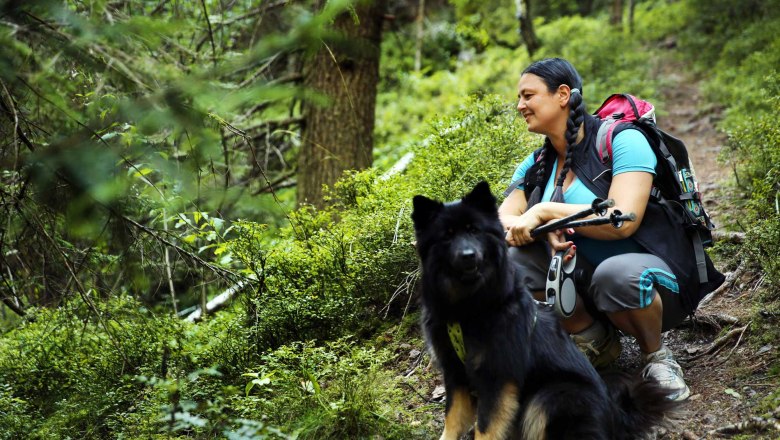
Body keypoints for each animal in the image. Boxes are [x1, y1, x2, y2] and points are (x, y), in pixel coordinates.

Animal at [412, 181, 680, 440]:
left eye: (474, 231)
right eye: (447, 236)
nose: (467, 255)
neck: (465, 307)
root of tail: (617, 415)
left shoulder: (498, 377)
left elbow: (485, 428)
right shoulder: (455, 373)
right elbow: (452, 421)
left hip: (552, 395)